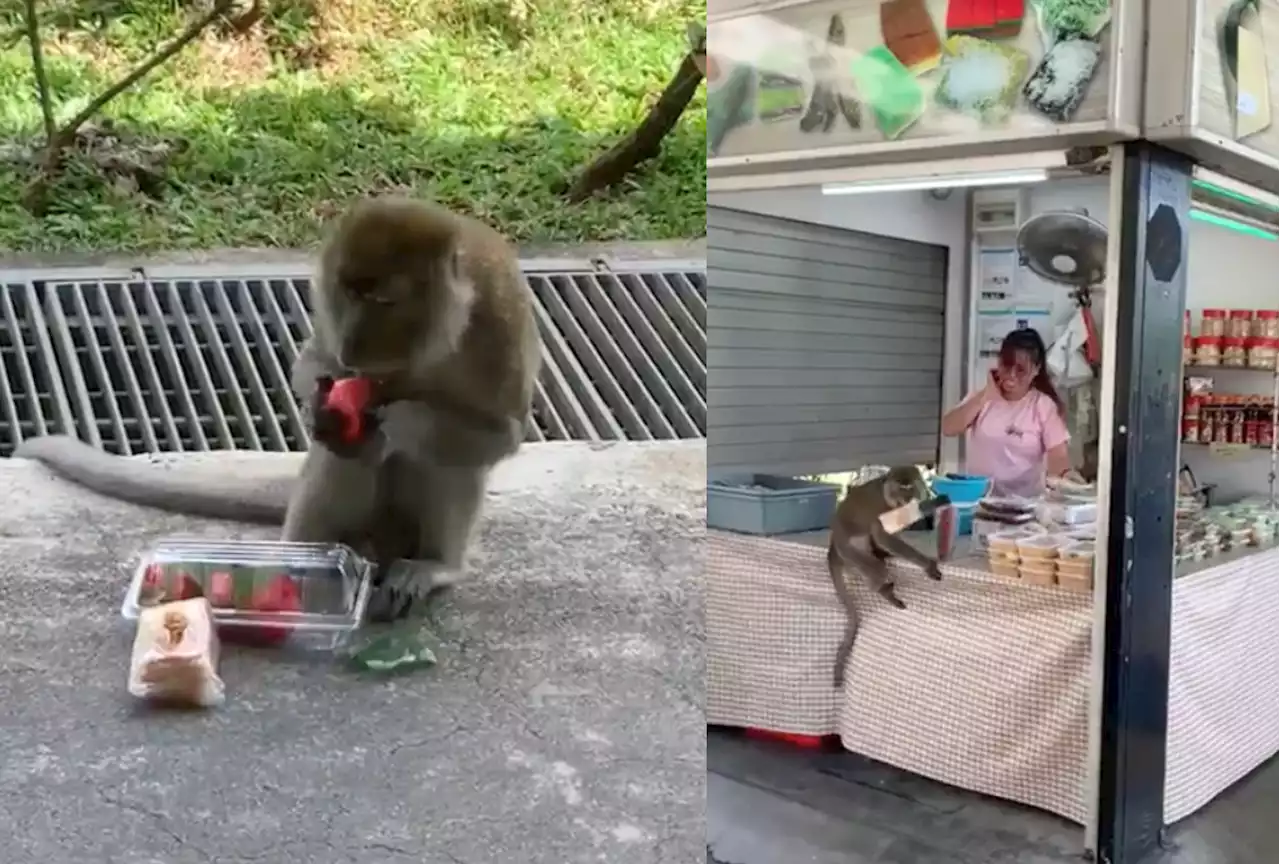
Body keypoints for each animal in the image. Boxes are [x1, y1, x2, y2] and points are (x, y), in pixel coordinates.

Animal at [16, 197, 545, 622]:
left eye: (383, 298)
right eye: (347, 292)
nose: (353, 342)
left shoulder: (496, 324)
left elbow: (501, 434)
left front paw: (392, 417)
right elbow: (311, 364)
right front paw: (322, 405)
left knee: (449, 463)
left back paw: (433, 566)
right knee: (343, 458)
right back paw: (298, 559)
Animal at [824, 465, 947, 691]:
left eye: (910, 486)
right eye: (900, 487)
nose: (905, 499)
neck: (887, 496)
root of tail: (833, 546)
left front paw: (937, 502)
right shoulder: (881, 509)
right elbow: (883, 535)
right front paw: (927, 564)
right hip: (851, 551)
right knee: (876, 566)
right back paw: (883, 590)